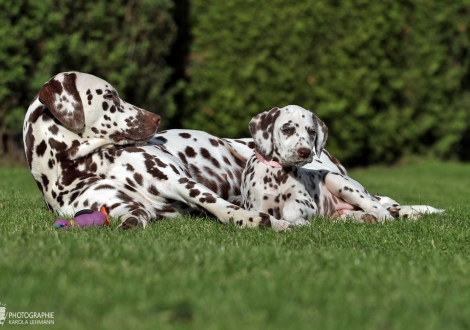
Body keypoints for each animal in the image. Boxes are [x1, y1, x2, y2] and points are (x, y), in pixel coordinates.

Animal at [24, 71, 294, 232]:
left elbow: (214, 202)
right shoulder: (125, 207)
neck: (84, 165)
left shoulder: (180, 182)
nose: (156, 118)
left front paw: (250, 219)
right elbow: (132, 218)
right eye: (110, 95)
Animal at [242, 105, 444, 224]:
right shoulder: (257, 207)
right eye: (287, 129)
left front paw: (300, 221)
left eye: (312, 132)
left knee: (377, 207)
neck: (276, 174)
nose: (305, 152)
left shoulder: (306, 202)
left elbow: (290, 209)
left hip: (339, 182)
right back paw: (364, 217)